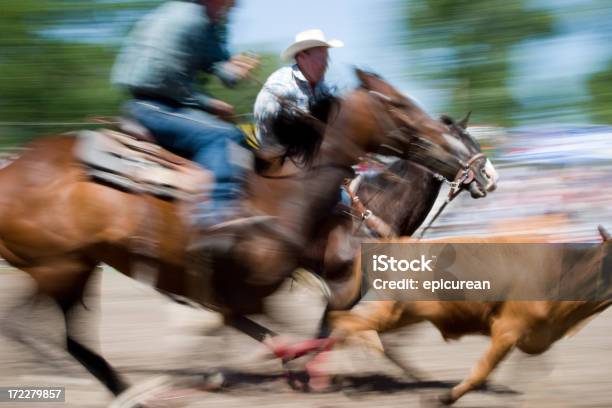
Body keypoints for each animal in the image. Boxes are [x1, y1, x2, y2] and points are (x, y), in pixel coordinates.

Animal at [0, 69, 492, 396]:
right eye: (402, 106)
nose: (488, 174)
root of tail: (14, 169)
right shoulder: (296, 280)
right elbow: (312, 326)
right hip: (62, 265)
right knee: (35, 327)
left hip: (75, 265)